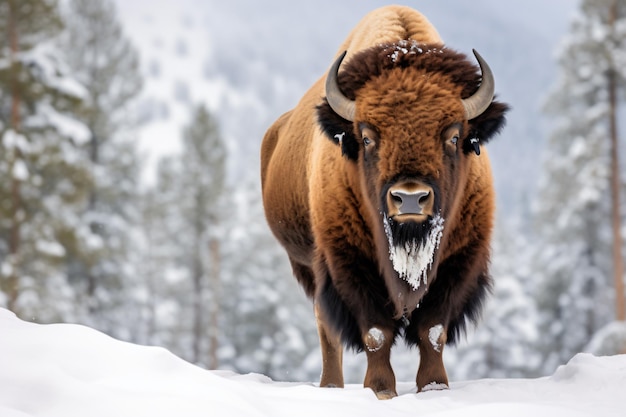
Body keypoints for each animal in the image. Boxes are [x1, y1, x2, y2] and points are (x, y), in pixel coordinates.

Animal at [258, 4, 508, 398]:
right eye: (367, 136)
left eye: (454, 136)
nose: (410, 199)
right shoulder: (349, 263)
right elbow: (376, 333)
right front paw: (380, 390)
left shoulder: (459, 261)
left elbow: (433, 330)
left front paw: (434, 387)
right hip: (310, 266)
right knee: (326, 327)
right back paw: (331, 386)